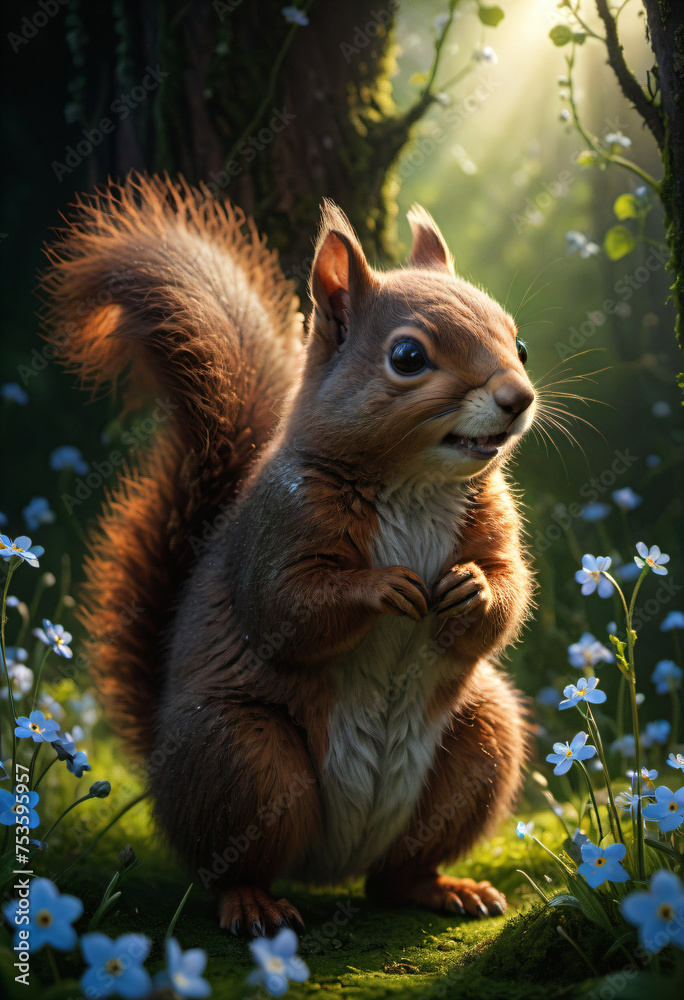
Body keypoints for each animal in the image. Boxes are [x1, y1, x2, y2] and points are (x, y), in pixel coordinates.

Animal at [42, 174, 536, 937]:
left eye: (520, 342)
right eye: (407, 358)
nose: (519, 397)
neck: (417, 484)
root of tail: (330, 866)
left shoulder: (494, 522)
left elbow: (509, 589)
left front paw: (475, 589)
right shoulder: (281, 524)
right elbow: (286, 608)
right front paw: (380, 588)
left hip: (481, 740)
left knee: (396, 876)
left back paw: (445, 888)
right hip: (243, 755)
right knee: (232, 864)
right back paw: (253, 903)